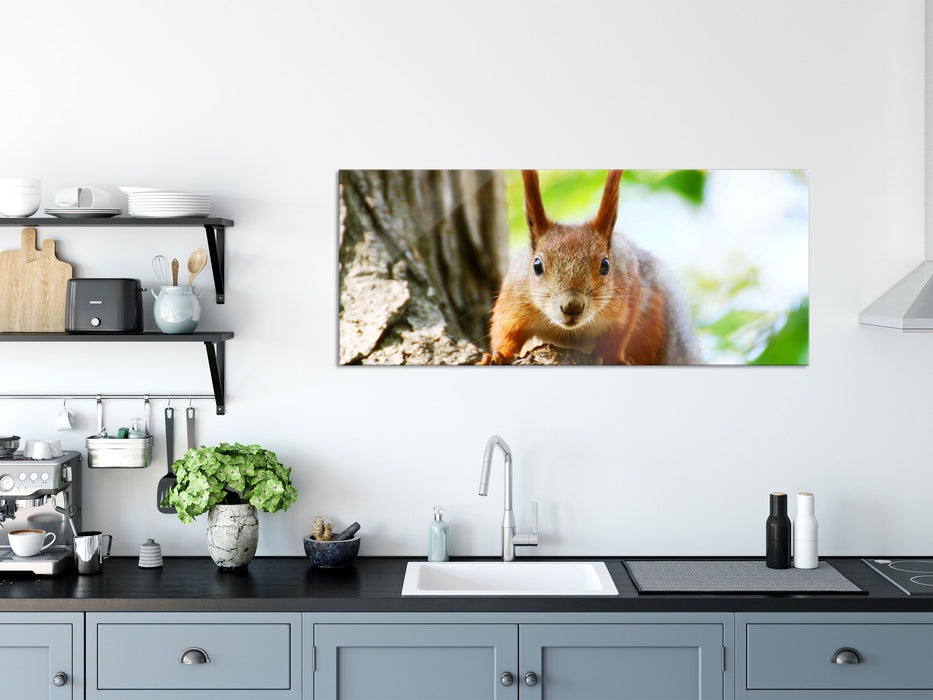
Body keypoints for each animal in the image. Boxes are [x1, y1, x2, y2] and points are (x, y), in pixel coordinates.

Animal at [488, 171, 700, 366]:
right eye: (537, 266)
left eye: (605, 265)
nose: (572, 306)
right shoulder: (514, 295)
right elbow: (506, 331)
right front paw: (499, 356)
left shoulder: (628, 288)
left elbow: (617, 335)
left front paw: (611, 359)